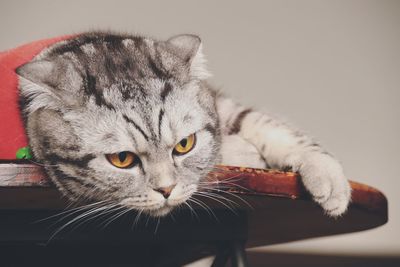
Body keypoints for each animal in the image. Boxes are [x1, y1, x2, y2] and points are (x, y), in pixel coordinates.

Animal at [15, 32, 350, 219]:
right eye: (122, 159)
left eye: (184, 145)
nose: (166, 189)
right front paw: (242, 152)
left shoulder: (219, 103)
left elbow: (263, 122)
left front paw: (330, 177)